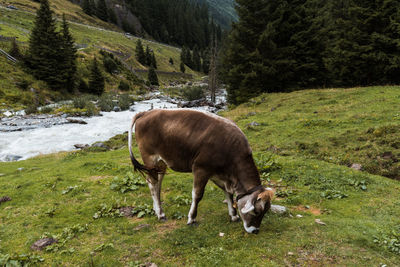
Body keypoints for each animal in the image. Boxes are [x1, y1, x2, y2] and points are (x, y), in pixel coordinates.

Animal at [128, 109, 272, 234]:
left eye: (266, 212)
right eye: (257, 212)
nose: (255, 231)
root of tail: (146, 112)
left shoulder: (218, 174)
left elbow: (228, 193)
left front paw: (233, 215)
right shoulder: (201, 169)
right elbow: (197, 195)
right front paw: (191, 218)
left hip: (161, 163)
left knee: (158, 184)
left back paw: (158, 210)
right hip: (150, 159)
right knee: (152, 184)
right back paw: (160, 213)